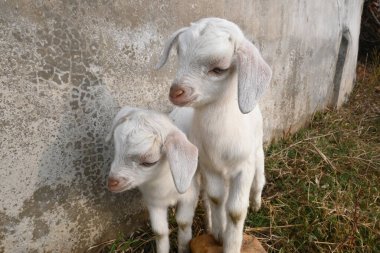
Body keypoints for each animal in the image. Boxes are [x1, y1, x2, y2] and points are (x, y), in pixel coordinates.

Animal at [104, 106, 197, 253]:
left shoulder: (189, 195)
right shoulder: (154, 202)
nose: (111, 183)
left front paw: (184, 248)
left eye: (149, 162)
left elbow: (183, 222)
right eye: (116, 148)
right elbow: (160, 232)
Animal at [157, 16, 274, 252]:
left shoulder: (244, 167)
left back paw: (257, 203)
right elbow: (216, 199)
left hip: (257, 152)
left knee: (259, 178)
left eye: (219, 69)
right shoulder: (209, 166)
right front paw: (219, 234)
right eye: (179, 55)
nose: (176, 92)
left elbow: (236, 211)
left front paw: (232, 244)